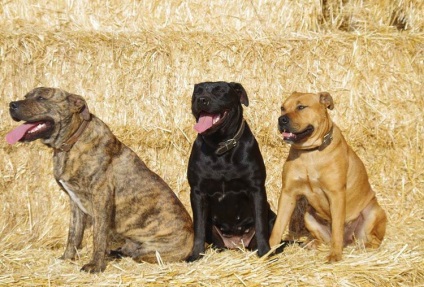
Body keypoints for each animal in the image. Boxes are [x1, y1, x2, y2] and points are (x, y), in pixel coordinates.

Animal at [5, 89, 195, 274]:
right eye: (26, 96)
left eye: (41, 98)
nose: (11, 105)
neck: (72, 142)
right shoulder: (75, 202)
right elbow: (73, 235)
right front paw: (67, 258)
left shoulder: (101, 197)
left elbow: (98, 235)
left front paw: (95, 266)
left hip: (151, 252)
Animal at [187, 81, 276, 260]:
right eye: (197, 91)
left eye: (220, 91)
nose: (201, 100)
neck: (220, 146)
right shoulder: (197, 192)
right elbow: (198, 228)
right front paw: (196, 255)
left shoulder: (256, 189)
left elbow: (260, 224)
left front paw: (264, 252)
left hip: (272, 215)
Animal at [270, 92, 386, 264]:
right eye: (282, 108)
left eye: (301, 107)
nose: (281, 119)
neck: (310, 152)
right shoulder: (288, 193)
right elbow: (277, 228)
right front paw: (267, 251)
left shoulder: (336, 194)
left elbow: (337, 228)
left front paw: (335, 255)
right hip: (308, 216)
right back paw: (311, 243)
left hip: (374, 212)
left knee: (374, 240)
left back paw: (364, 247)